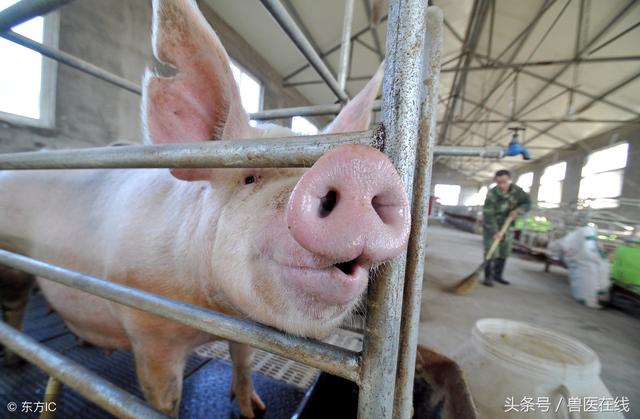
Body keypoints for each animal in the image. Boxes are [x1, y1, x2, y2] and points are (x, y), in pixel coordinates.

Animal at [0, 0, 410, 416]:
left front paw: (254, 409)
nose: (358, 165)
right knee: (16, 306)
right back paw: (14, 361)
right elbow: (163, 399)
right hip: (13, 263)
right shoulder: (147, 328)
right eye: (249, 178)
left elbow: (243, 360)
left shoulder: (243, 325)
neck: (212, 313)